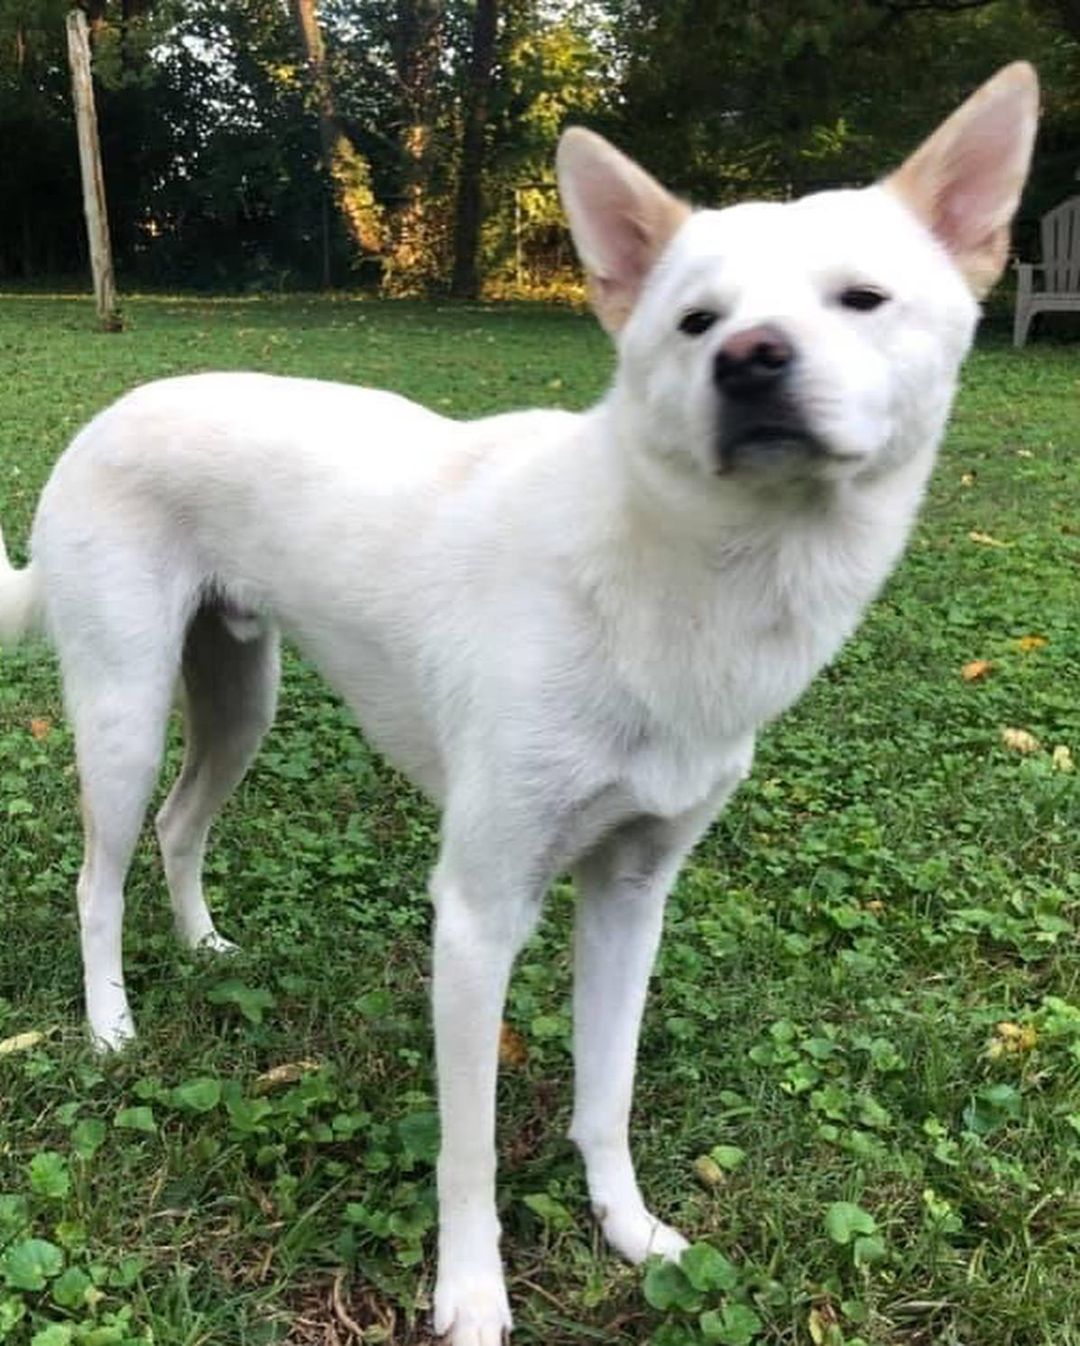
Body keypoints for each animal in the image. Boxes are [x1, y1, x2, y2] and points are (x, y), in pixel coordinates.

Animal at [0, 60, 1034, 1346]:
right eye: (695, 321)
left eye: (863, 298)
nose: (749, 358)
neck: (682, 568)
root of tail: (103, 417)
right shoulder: (478, 910)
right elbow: (470, 1147)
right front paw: (472, 1293)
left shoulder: (632, 894)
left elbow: (608, 1090)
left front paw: (628, 1227)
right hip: (125, 708)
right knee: (96, 877)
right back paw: (110, 1026)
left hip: (242, 695)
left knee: (183, 828)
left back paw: (203, 947)